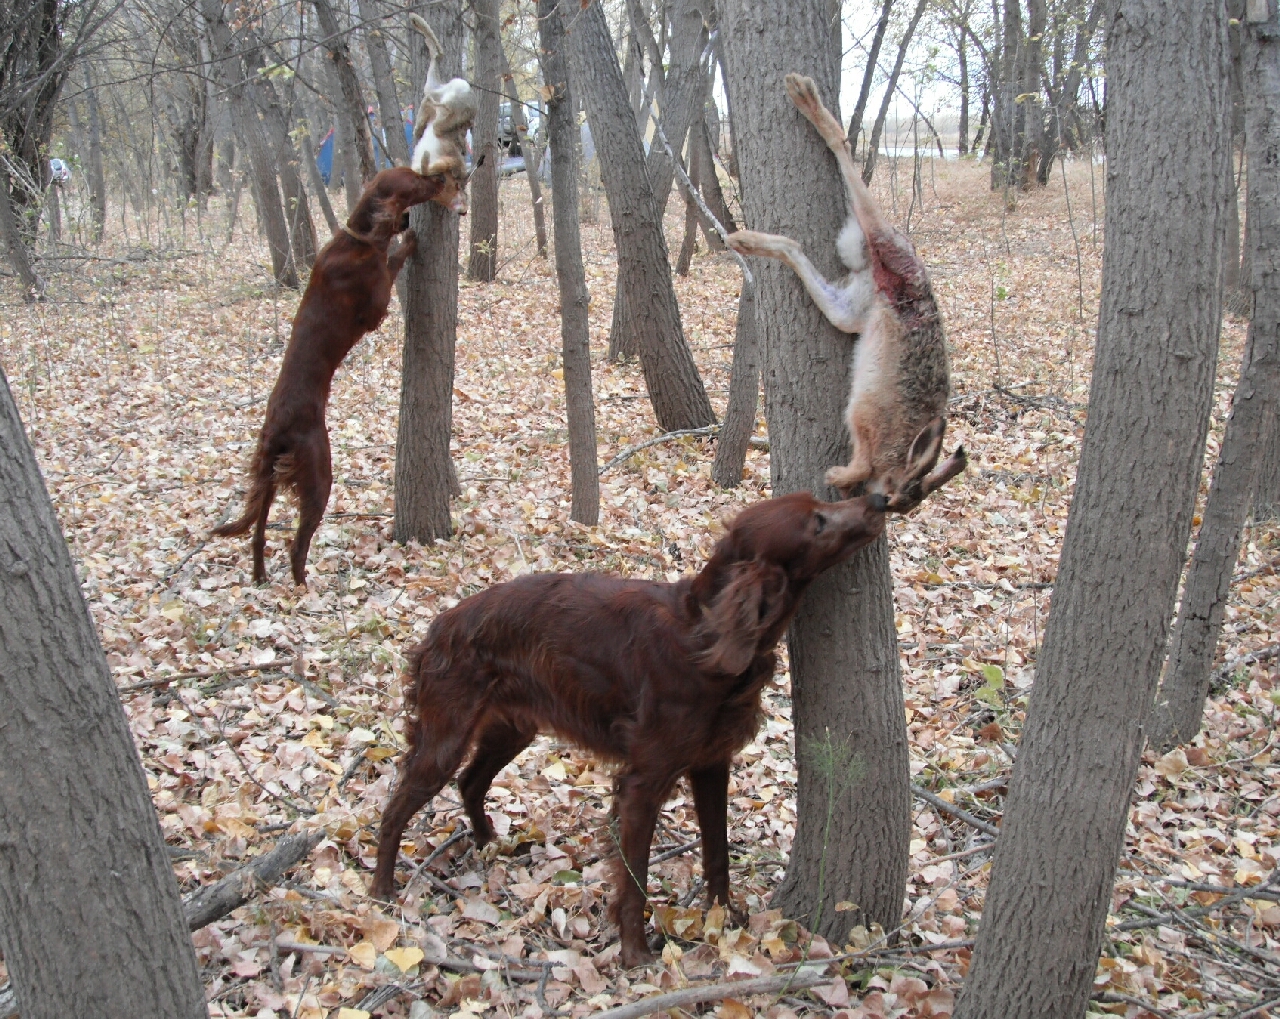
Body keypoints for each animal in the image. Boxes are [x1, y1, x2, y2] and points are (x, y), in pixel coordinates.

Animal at [215, 165, 460, 581]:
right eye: (414, 181)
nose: (441, 178)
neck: (357, 239)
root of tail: (277, 426)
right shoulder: (376, 303)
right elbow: (392, 261)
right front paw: (408, 238)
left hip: (268, 473)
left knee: (258, 533)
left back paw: (261, 577)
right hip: (318, 473)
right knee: (296, 545)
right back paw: (302, 588)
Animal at [732, 73, 962, 509]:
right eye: (893, 499)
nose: (879, 507)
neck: (900, 450)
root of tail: (914, 279)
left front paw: (838, 480)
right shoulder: (868, 419)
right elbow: (862, 464)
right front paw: (840, 478)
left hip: (856, 310)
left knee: (799, 248)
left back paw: (744, 239)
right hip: (880, 253)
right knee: (848, 159)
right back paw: (806, 99)